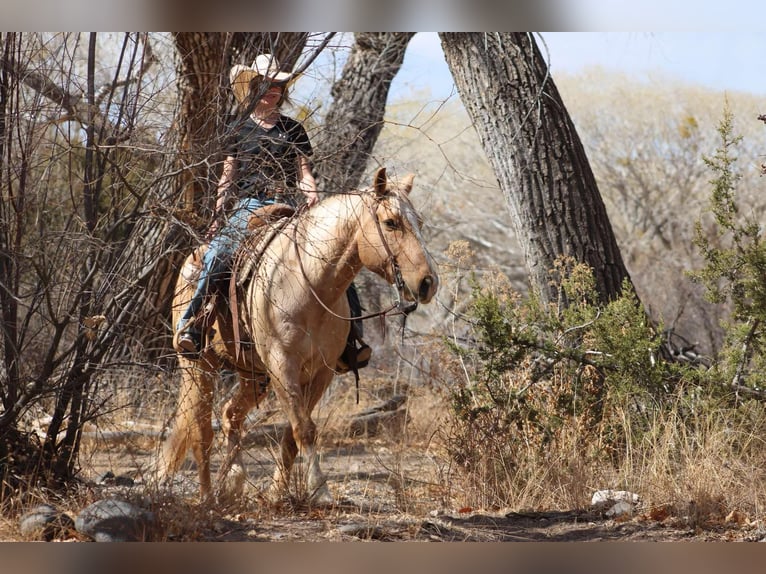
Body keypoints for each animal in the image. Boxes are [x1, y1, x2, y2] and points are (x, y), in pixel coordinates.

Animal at [158, 167, 439, 503]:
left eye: (419, 222)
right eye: (391, 222)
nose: (428, 283)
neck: (306, 283)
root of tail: (192, 258)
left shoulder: (322, 371)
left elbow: (294, 432)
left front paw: (276, 493)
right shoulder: (283, 366)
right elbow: (303, 428)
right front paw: (320, 490)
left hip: (253, 376)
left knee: (230, 415)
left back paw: (233, 480)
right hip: (198, 366)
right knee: (201, 430)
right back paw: (208, 495)